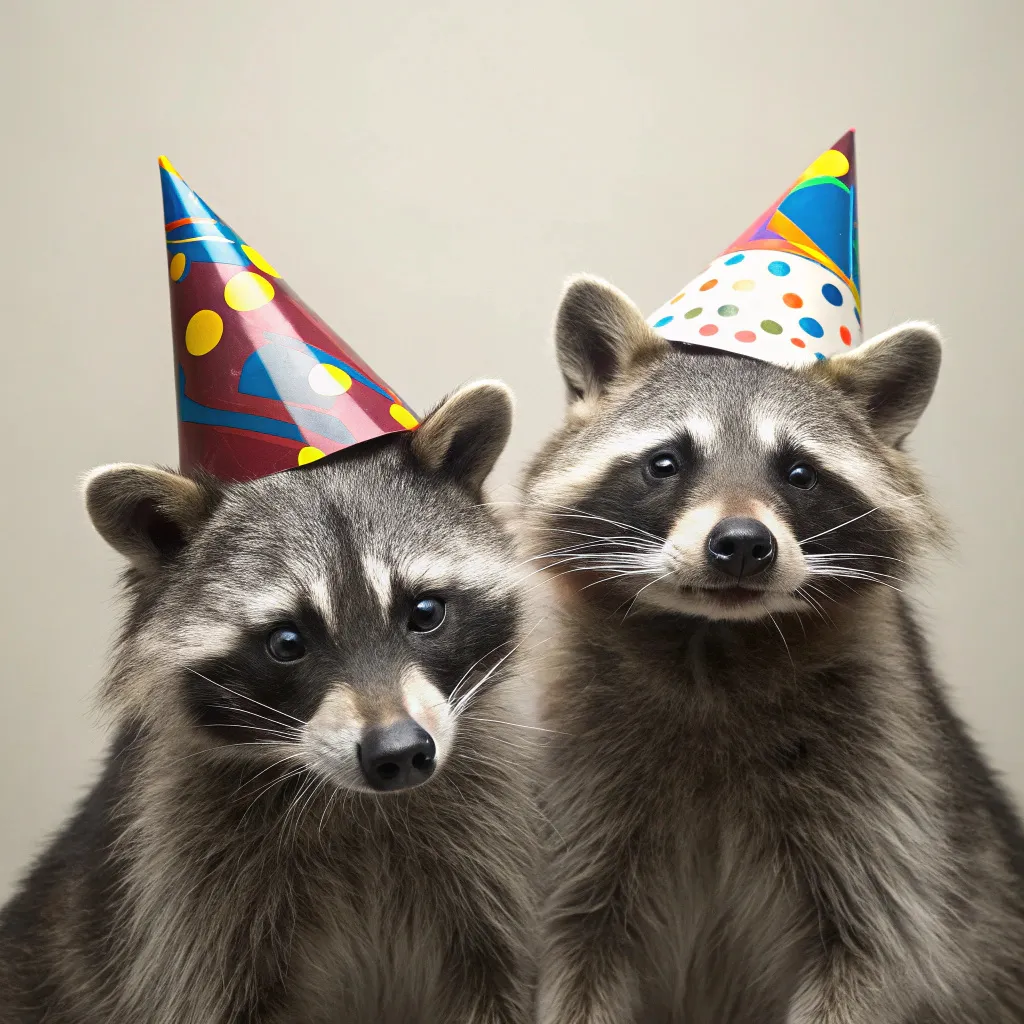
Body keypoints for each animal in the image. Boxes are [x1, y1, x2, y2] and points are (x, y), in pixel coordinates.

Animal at [0, 381, 537, 1024]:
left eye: (426, 612)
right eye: (286, 643)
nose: (400, 752)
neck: (354, 802)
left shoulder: (489, 868)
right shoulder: (187, 899)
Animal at [521, 277, 1024, 1024]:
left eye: (798, 473)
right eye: (665, 463)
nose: (740, 544)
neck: (712, 641)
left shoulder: (887, 794)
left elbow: (875, 956)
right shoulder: (581, 798)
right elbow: (577, 947)